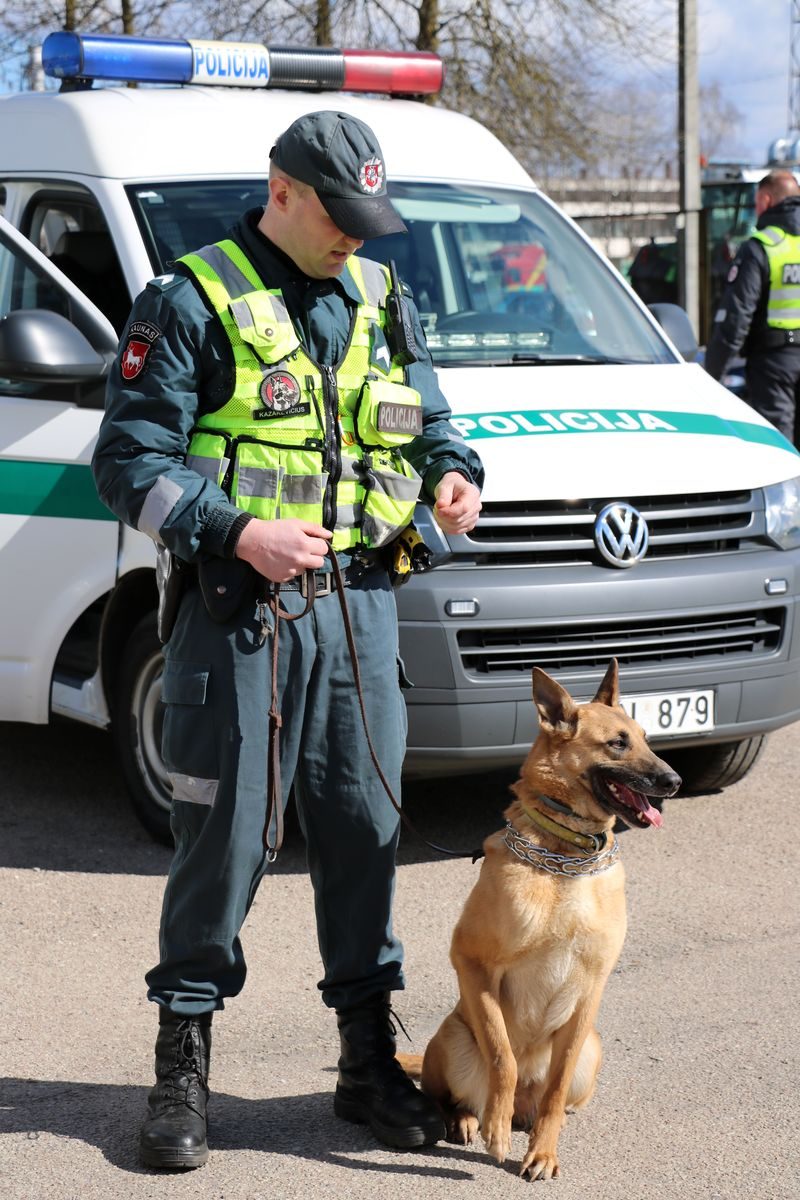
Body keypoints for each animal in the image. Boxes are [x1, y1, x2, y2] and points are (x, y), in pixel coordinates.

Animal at [410, 667, 681, 1180]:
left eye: (645, 738)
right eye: (617, 744)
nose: (674, 780)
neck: (566, 859)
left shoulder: (589, 992)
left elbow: (555, 1088)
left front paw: (544, 1152)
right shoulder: (471, 962)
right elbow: (502, 1056)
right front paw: (495, 1129)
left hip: (592, 1048)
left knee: (551, 1098)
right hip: (454, 1036)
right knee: (447, 1095)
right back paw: (469, 1119)